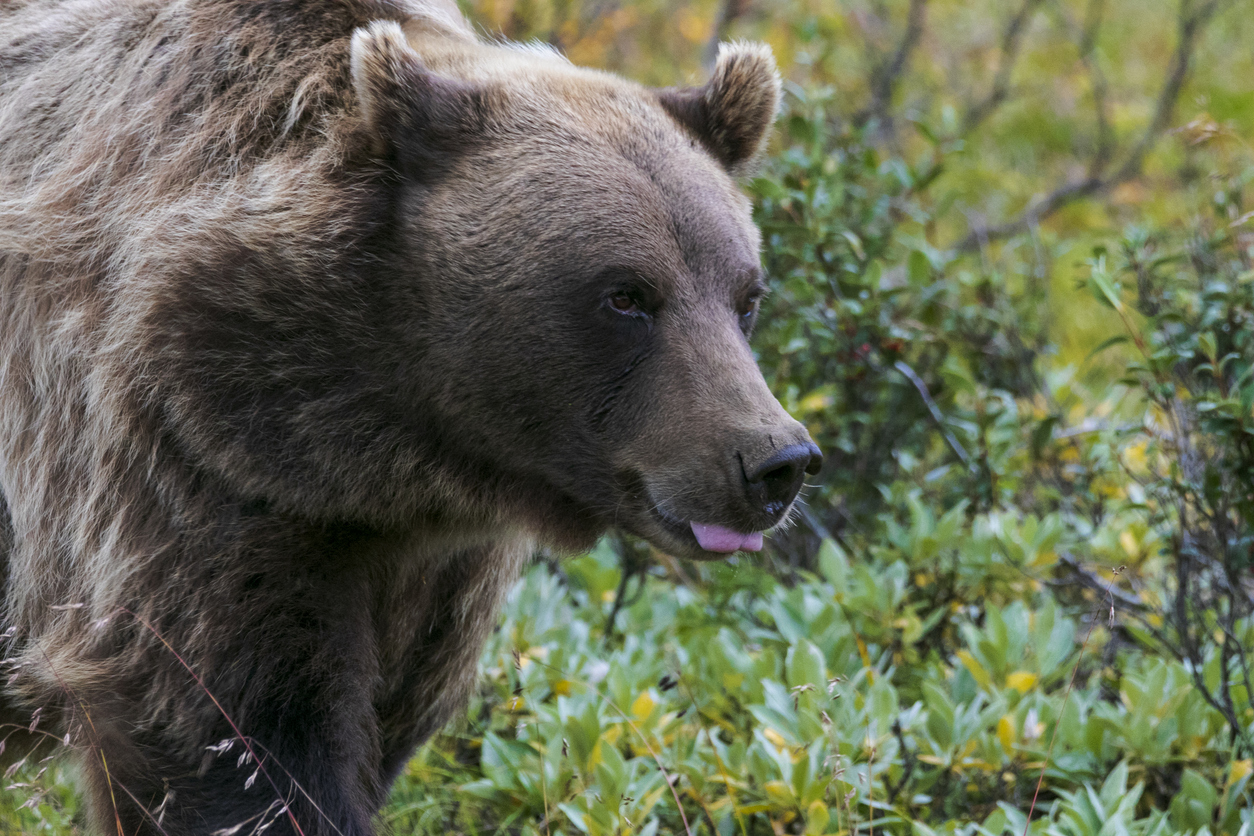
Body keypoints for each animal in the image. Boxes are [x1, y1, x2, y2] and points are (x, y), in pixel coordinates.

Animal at [0, 0, 822, 833]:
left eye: (746, 296)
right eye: (626, 294)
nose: (775, 461)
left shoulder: (429, 568)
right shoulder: (171, 463)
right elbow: (234, 728)